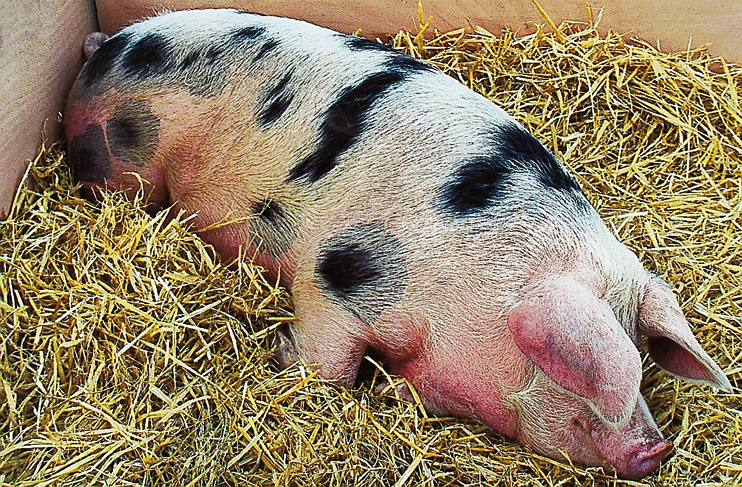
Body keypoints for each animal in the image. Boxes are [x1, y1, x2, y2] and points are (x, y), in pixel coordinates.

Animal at [62, 9, 732, 482]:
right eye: (567, 365)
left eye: (640, 349)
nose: (656, 450)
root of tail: (106, 46)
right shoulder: (334, 282)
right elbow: (327, 367)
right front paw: (283, 359)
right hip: (118, 158)